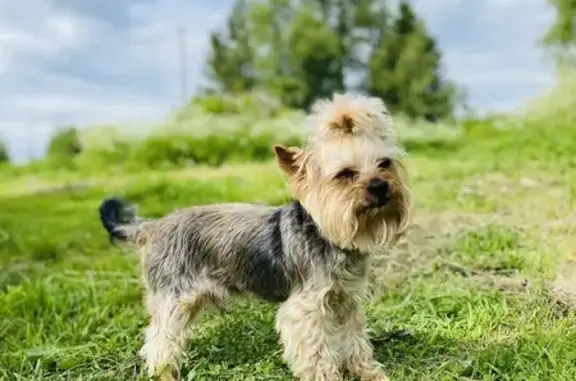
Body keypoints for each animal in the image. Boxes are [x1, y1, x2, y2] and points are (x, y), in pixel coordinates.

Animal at [98, 93, 410, 380]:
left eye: (385, 163)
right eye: (345, 174)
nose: (380, 186)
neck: (328, 236)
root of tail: (152, 227)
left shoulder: (346, 301)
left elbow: (354, 341)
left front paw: (369, 373)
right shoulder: (305, 309)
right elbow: (317, 353)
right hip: (174, 296)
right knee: (159, 339)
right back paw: (163, 372)